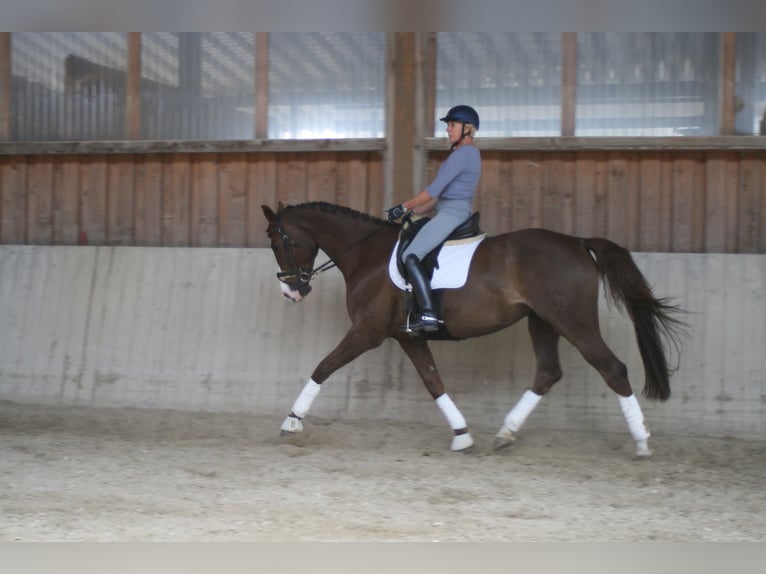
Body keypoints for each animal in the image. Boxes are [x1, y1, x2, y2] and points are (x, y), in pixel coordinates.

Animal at [260, 201, 688, 460]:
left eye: (279, 243)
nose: (291, 291)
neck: (367, 255)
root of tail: (578, 243)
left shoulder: (367, 332)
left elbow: (322, 368)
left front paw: (291, 422)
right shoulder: (407, 336)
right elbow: (434, 383)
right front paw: (462, 434)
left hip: (573, 322)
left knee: (612, 368)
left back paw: (641, 442)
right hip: (542, 323)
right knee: (548, 372)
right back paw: (506, 433)